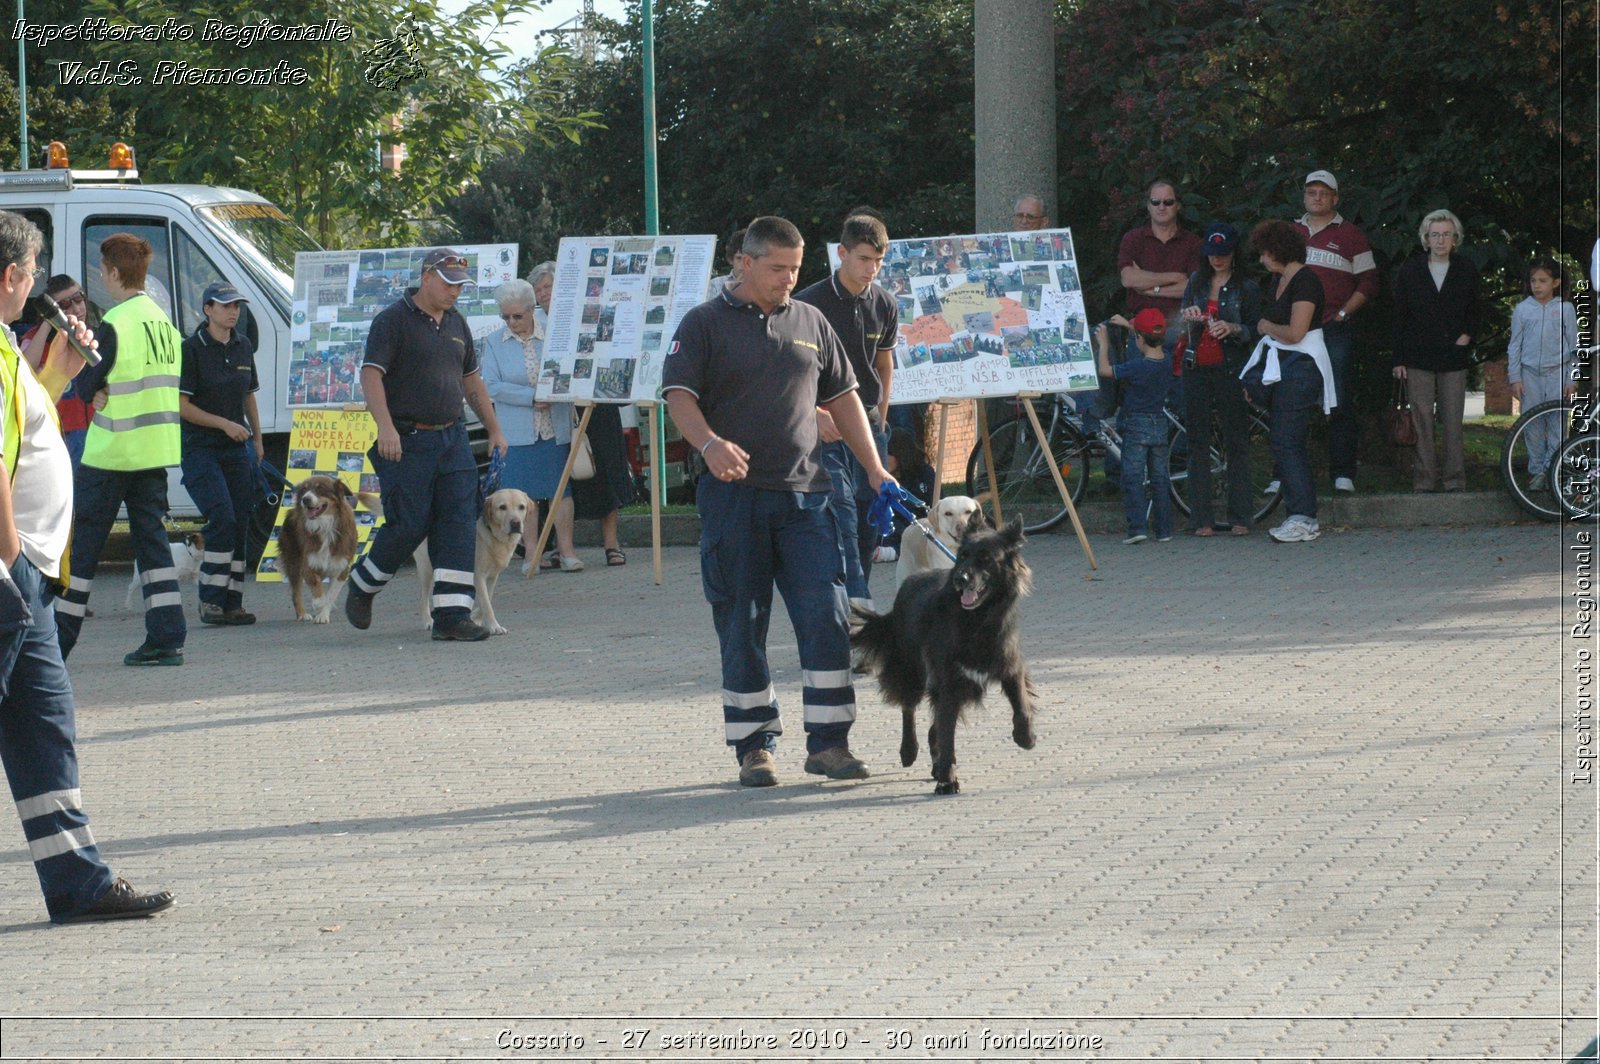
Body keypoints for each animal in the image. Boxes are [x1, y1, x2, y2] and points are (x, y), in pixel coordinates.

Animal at [412, 486, 531, 633]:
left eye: (521, 507)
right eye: (502, 507)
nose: (516, 523)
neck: (493, 535)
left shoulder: (493, 576)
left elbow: (488, 597)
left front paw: (476, 618)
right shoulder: (478, 576)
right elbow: (486, 604)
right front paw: (494, 626)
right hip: (427, 569)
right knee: (423, 598)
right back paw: (429, 621)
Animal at [851, 512, 1036, 793]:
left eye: (986, 559)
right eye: (963, 556)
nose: (961, 578)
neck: (976, 621)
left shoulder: (1010, 665)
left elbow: (1021, 705)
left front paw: (1025, 737)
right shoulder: (949, 683)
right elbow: (947, 734)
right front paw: (948, 781)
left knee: (933, 728)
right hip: (911, 670)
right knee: (909, 709)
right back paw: (909, 751)